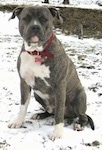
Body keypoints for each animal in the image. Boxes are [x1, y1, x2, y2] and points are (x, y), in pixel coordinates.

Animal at [8, 4, 95, 141]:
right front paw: (18, 122)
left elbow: (59, 112)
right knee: (50, 111)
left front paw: (57, 133)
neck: (37, 52)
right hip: (38, 95)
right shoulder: (24, 83)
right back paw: (40, 115)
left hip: (80, 97)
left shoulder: (59, 86)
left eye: (44, 19)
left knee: (82, 115)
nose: (35, 27)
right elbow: (23, 106)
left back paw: (80, 124)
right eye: (26, 18)